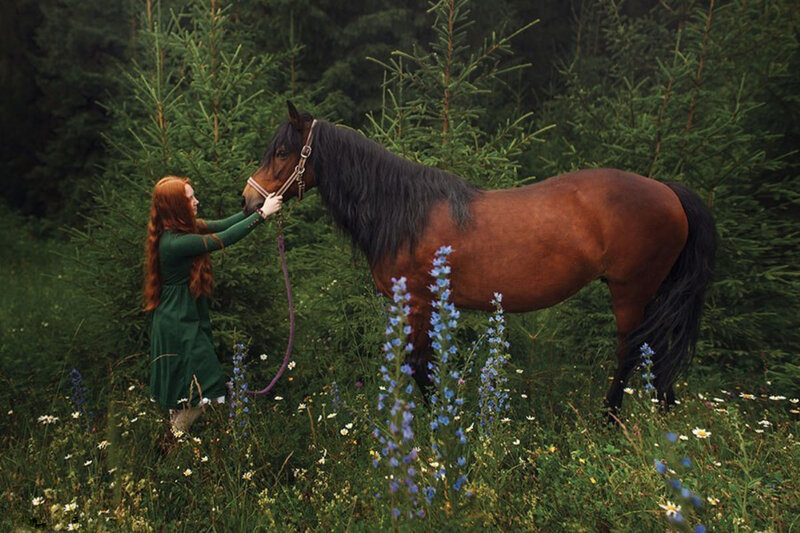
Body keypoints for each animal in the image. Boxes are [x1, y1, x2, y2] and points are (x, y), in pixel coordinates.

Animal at [242, 101, 716, 418]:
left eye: (283, 152)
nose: (249, 200)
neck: (403, 210)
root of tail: (668, 191)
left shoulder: (417, 303)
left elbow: (420, 368)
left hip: (631, 291)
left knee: (632, 351)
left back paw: (612, 418)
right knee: (661, 349)